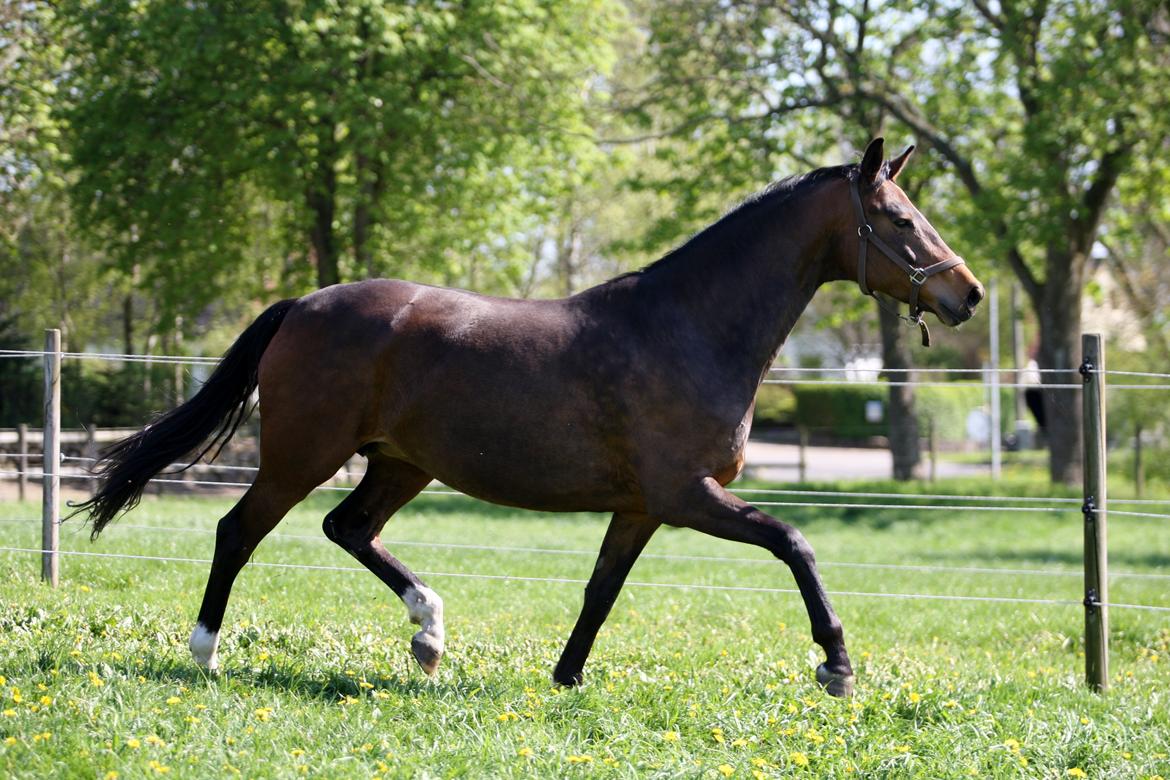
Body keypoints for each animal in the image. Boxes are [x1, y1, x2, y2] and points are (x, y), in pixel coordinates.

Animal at [73, 137, 982, 696]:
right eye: (900, 220)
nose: (967, 293)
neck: (687, 326)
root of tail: (303, 303)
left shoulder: (642, 507)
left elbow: (600, 591)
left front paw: (566, 678)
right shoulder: (687, 495)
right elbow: (795, 543)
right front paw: (837, 666)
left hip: (402, 462)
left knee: (347, 528)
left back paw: (429, 633)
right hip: (302, 454)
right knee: (239, 531)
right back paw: (204, 652)